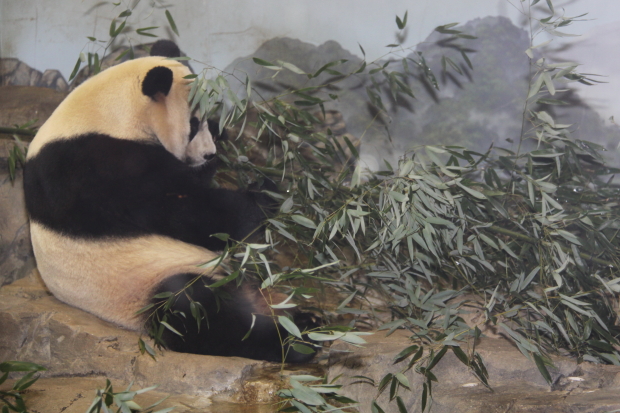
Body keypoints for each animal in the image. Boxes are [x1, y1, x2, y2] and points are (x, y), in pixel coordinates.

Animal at [22, 39, 318, 360]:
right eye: (193, 124)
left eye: (208, 120)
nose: (209, 154)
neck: (106, 113)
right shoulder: (102, 169)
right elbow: (195, 214)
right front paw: (263, 193)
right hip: (147, 284)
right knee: (195, 310)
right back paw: (297, 340)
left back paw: (305, 320)